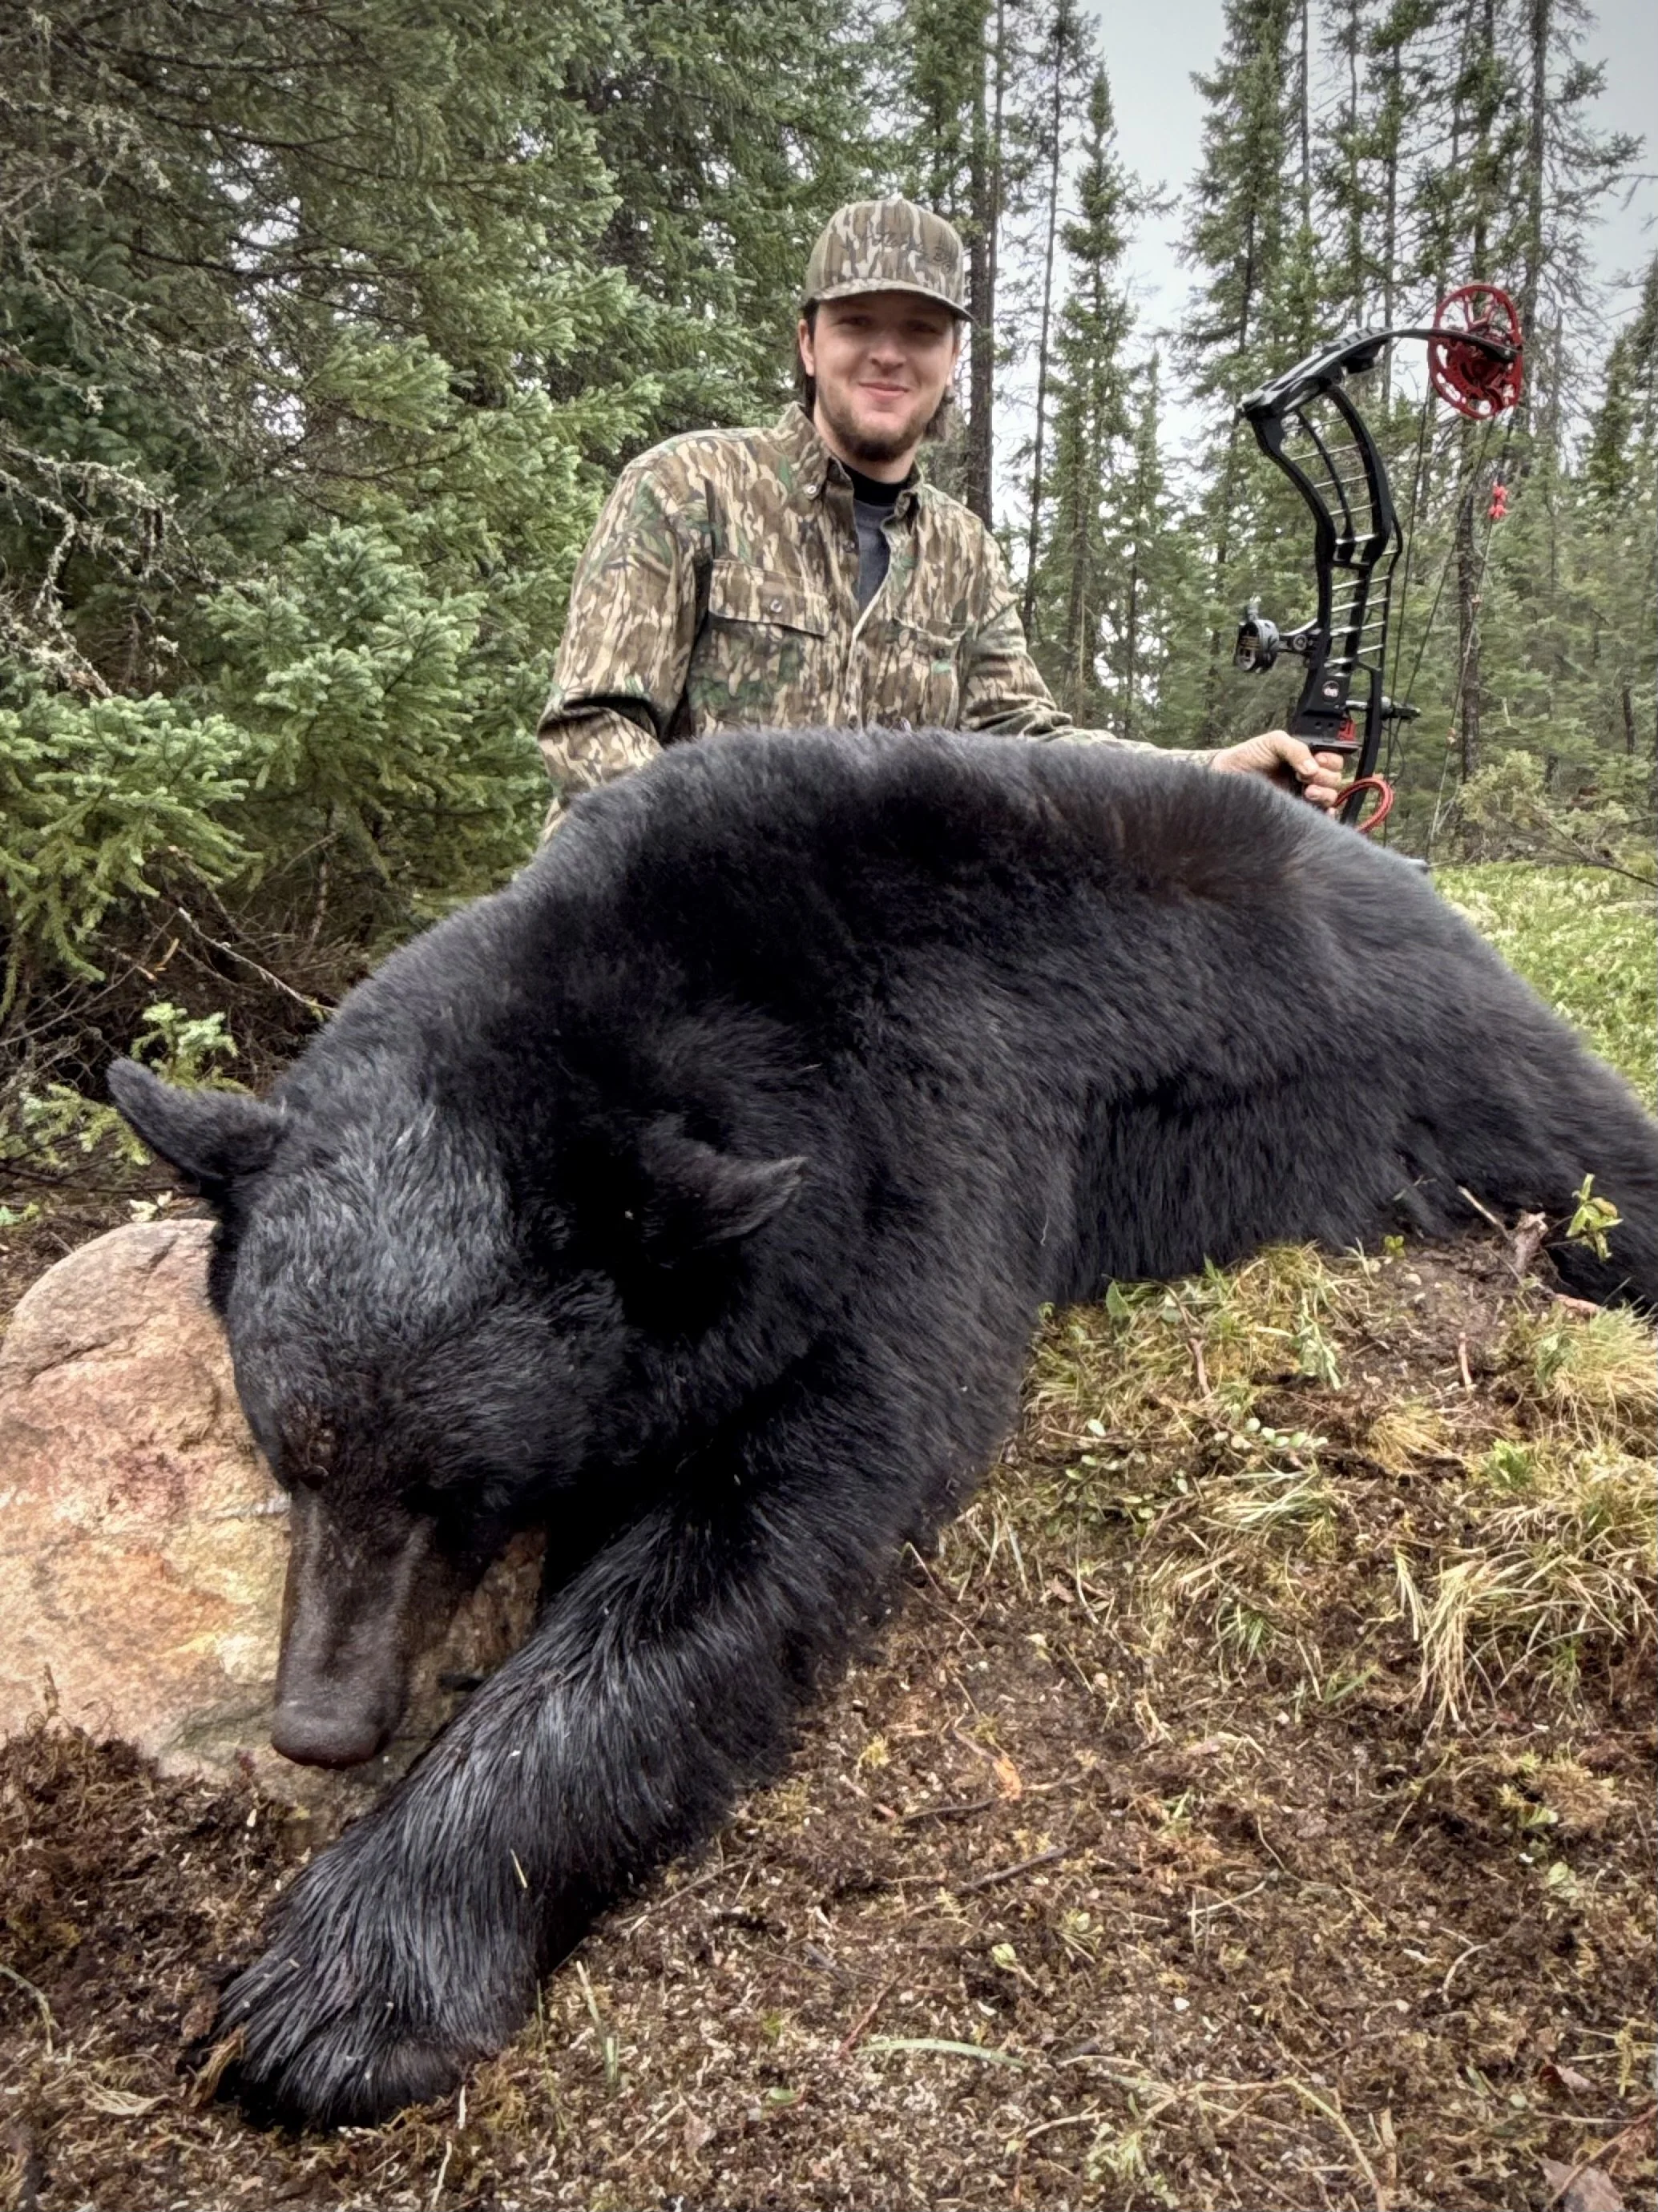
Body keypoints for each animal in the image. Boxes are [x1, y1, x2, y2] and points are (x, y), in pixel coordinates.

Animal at [108, 726, 1658, 2128]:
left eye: (464, 1487)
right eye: (292, 1458)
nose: (322, 1723)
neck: (706, 975)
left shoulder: (927, 1122)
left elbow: (777, 1520)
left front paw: (338, 1992)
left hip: (1478, 1080)